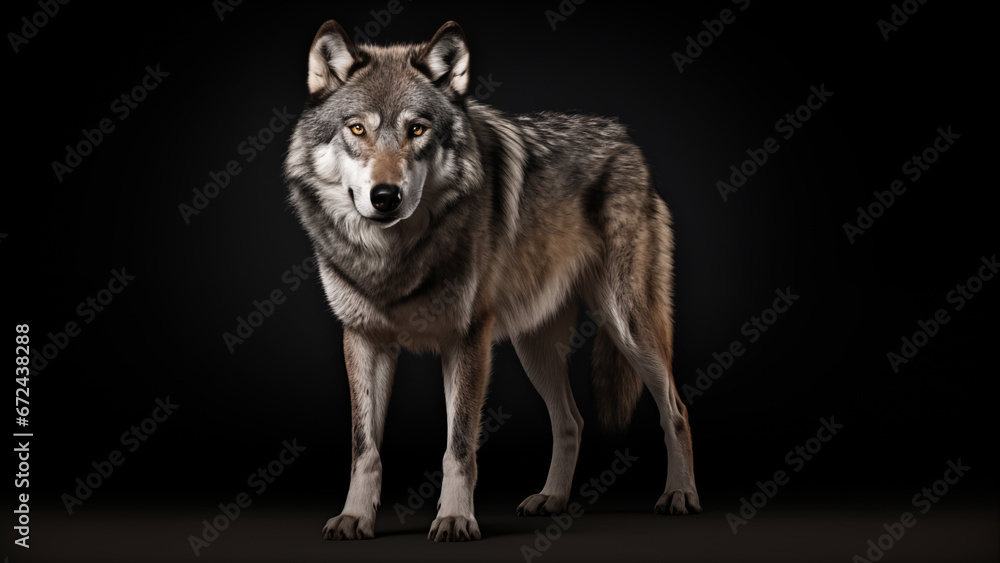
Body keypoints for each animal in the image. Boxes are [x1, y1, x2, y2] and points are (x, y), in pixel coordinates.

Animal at [284, 20, 701, 542]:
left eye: (417, 129)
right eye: (357, 128)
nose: (385, 196)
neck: (392, 257)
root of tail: (628, 143)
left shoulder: (468, 339)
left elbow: (459, 445)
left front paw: (455, 518)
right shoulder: (363, 338)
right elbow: (365, 447)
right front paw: (355, 517)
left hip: (626, 324)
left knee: (676, 409)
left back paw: (680, 495)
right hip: (533, 346)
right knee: (572, 421)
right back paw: (551, 498)